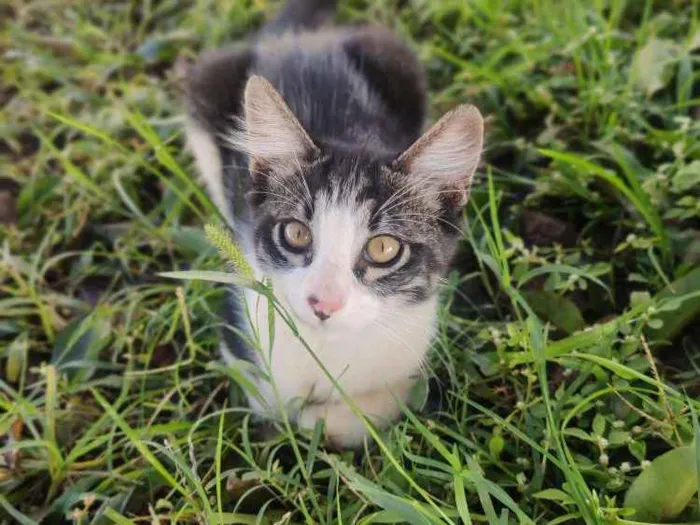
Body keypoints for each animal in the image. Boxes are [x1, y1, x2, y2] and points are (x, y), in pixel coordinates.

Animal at [183, 0, 484, 446]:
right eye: (296, 233)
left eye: (383, 248)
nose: (323, 303)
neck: (327, 349)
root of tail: (297, 39)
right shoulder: (239, 329)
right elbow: (269, 399)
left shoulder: (411, 346)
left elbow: (373, 406)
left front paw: (324, 417)